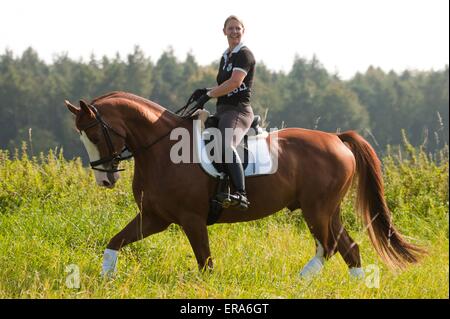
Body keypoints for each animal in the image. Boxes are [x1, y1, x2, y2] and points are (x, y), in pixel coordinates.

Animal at [65, 90, 424, 280]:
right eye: (81, 135)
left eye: (94, 134)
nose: (105, 178)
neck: (161, 147)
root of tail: (336, 139)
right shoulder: (155, 218)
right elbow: (114, 243)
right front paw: (105, 279)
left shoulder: (192, 220)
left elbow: (206, 264)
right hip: (327, 210)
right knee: (348, 248)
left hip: (317, 209)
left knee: (330, 247)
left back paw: (299, 282)